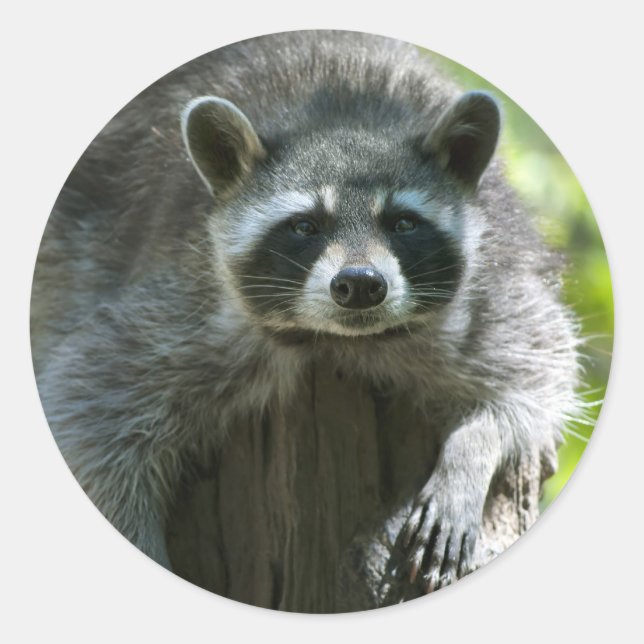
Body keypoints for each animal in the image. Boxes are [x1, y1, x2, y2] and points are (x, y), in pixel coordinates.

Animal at [31, 31, 578, 596]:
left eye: (403, 222)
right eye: (305, 226)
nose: (361, 286)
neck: (335, 339)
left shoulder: (491, 287)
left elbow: (533, 371)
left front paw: (471, 453)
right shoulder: (187, 306)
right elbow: (89, 407)